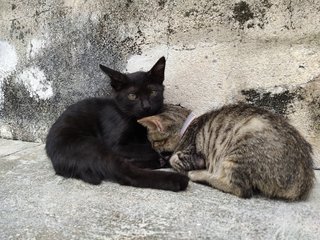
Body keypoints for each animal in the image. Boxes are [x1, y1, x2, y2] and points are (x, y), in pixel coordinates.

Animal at [45, 57, 190, 191]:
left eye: (153, 92)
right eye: (132, 96)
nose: (146, 106)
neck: (136, 122)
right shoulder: (116, 145)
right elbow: (149, 147)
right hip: (90, 145)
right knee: (125, 173)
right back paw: (176, 179)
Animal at [139, 103, 316, 199]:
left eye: (153, 142)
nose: (154, 151)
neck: (187, 125)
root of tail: (302, 182)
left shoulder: (195, 154)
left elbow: (175, 159)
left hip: (238, 153)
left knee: (241, 189)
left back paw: (199, 175)